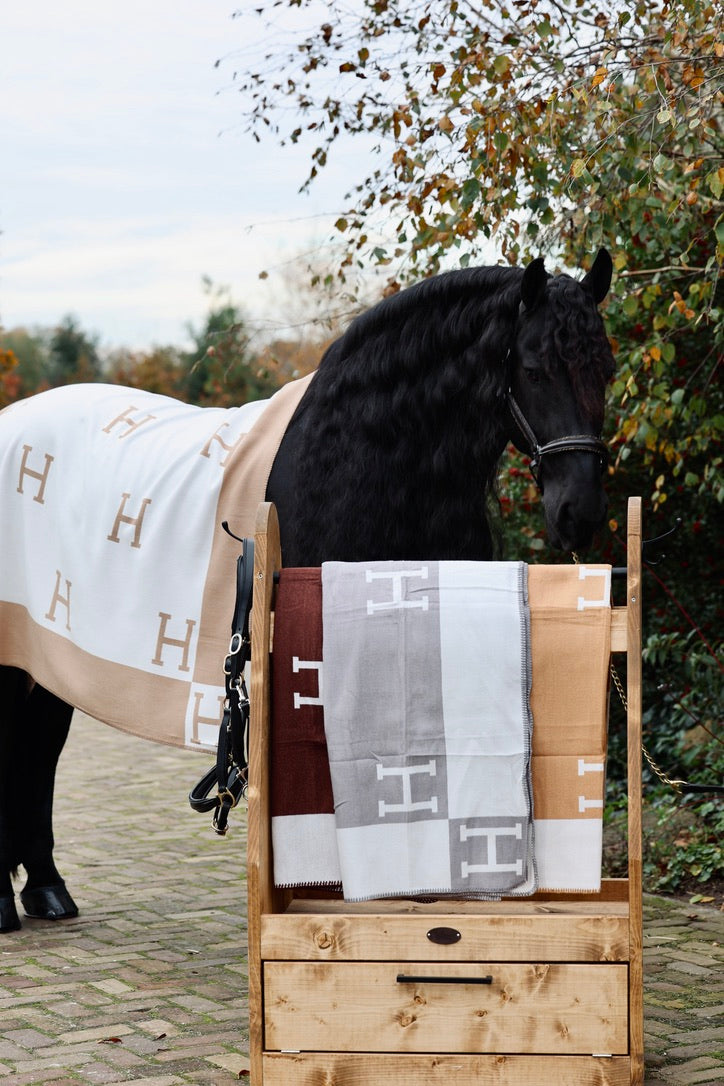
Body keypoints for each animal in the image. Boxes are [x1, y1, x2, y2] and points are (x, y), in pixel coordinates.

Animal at [0, 249, 615, 932]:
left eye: (605, 367)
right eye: (533, 369)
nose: (579, 512)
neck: (357, 459)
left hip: (51, 659)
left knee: (37, 751)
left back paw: (48, 890)